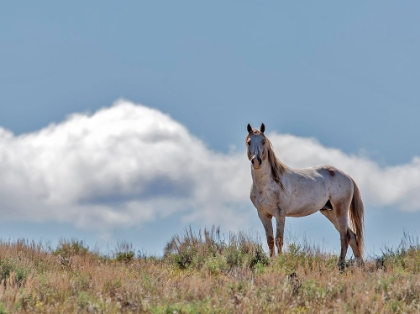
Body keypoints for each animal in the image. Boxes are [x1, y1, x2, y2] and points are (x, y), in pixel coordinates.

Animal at [246, 122, 364, 268]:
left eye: (263, 141)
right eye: (249, 142)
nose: (256, 161)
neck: (267, 184)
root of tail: (347, 176)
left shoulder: (280, 214)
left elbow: (279, 239)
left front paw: (280, 261)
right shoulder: (263, 214)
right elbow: (270, 239)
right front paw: (272, 262)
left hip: (340, 210)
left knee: (345, 236)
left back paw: (340, 264)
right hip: (329, 212)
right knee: (352, 236)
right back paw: (360, 266)